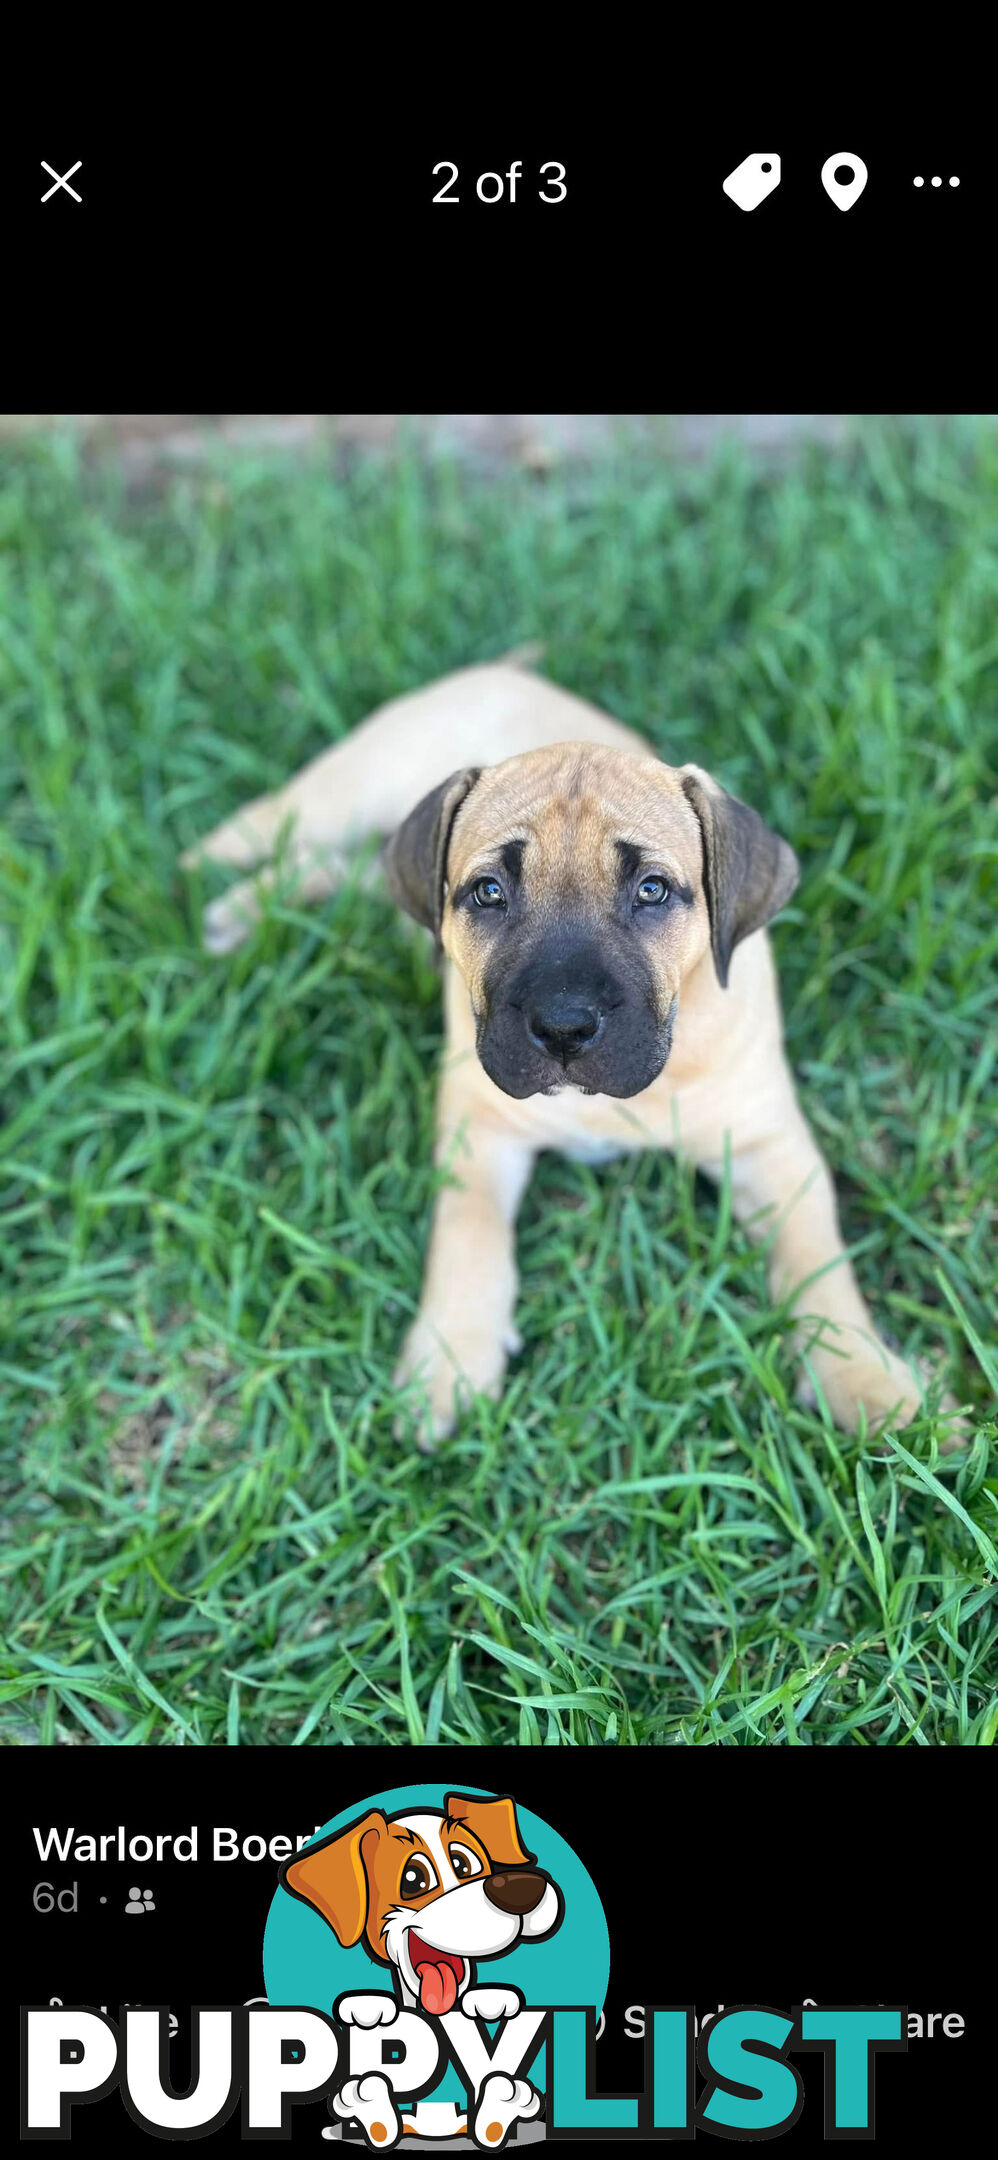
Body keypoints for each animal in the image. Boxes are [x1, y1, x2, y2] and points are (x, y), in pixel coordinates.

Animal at [184, 648, 937, 1442]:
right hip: (351, 785)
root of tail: (503, 668)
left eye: (651, 890)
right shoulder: (477, 1130)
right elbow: (468, 1236)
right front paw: (449, 1362)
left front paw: (863, 1377)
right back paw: (221, 890)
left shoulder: (771, 1146)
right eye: (488, 892)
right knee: (276, 825)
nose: (565, 1026)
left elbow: (819, 1261)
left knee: (349, 870)